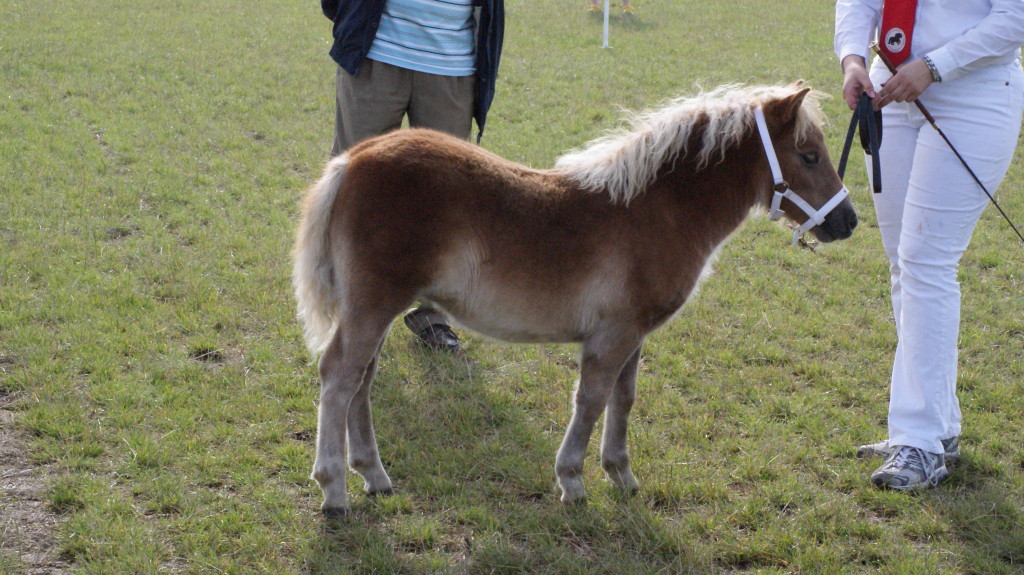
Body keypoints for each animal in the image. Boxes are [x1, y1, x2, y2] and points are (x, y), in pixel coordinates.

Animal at [294, 81, 856, 515]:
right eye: (808, 155)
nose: (847, 221)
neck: (656, 210)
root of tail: (353, 158)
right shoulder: (613, 335)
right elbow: (591, 399)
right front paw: (573, 482)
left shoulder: (635, 334)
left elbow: (623, 400)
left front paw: (621, 475)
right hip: (374, 305)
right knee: (340, 376)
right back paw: (335, 490)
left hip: (375, 309)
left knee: (361, 380)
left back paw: (374, 476)